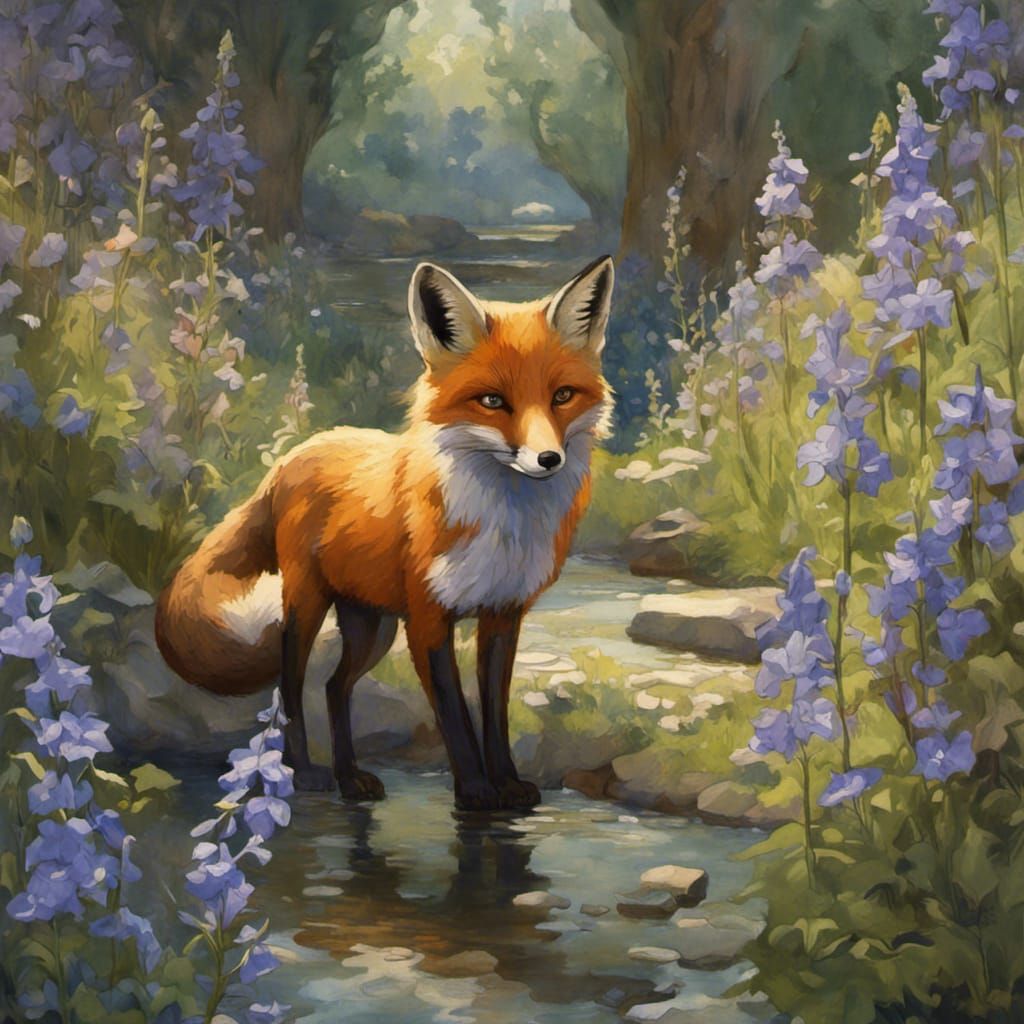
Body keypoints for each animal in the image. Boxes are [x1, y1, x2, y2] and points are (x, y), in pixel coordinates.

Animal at [155, 255, 615, 811]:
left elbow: (495, 713)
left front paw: (506, 784)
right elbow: (455, 716)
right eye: (492, 400)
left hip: (372, 627)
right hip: (308, 606)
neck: (503, 525)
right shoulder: (427, 619)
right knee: (291, 688)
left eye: (562, 396)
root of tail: (293, 456)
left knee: (334, 688)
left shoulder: (503, 615)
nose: (548, 459)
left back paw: (351, 778)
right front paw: (476, 791)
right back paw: (304, 771)